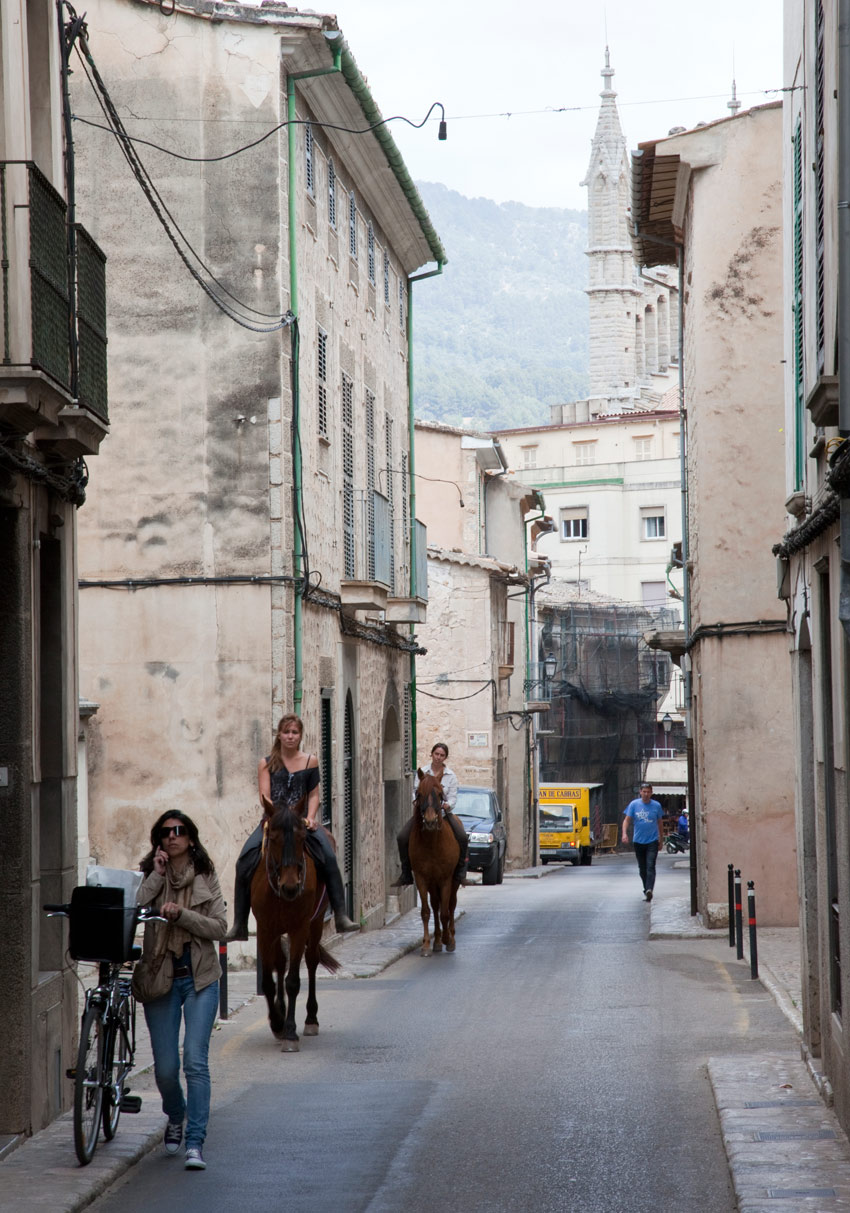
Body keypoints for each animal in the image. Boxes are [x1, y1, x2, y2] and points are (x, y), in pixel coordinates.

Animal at [248, 795, 337, 1052]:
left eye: (301, 838)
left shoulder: (299, 928)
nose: (290, 887)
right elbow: (268, 980)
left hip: (316, 922)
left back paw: (310, 1019)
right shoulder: (264, 928)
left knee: (312, 960)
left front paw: (289, 1032)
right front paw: (277, 1022)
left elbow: (293, 981)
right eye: (273, 838)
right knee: (280, 961)